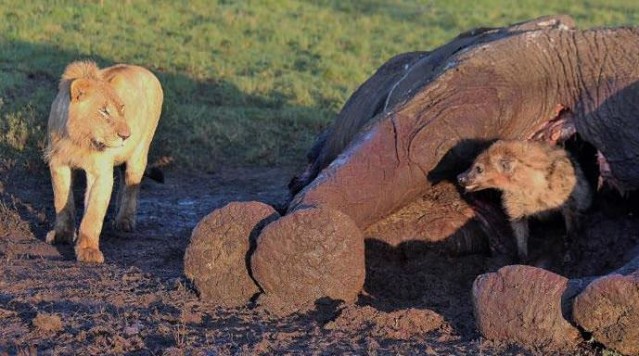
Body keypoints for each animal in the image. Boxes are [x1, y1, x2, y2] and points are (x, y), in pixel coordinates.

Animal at [45, 59, 164, 262]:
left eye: (121, 108)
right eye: (104, 111)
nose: (126, 136)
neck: (78, 139)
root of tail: (146, 70)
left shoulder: (101, 172)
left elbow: (93, 213)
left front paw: (88, 250)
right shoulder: (59, 163)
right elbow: (62, 202)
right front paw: (61, 235)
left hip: (140, 152)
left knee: (131, 185)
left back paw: (124, 221)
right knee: (123, 180)